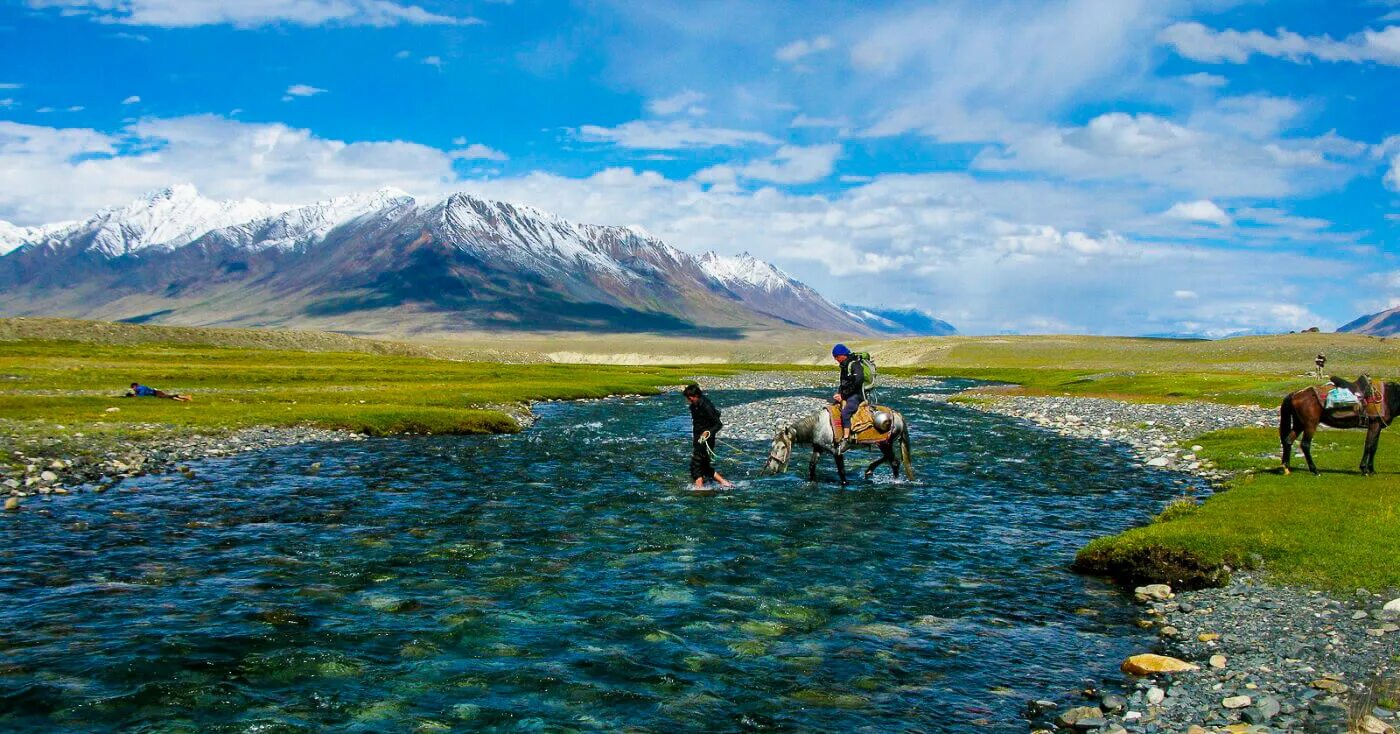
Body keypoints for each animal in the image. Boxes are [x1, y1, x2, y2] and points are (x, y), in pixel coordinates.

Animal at [761, 403, 912, 484]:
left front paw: (846, 483)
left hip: (885, 443)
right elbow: (811, 466)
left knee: (894, 462)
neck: (818, 426)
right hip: (883, 444)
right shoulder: (818, 448)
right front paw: (812, 481)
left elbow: (841, 471)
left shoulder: (837, 451)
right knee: (889, 459)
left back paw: (894, 480)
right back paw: (869, 471)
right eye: (772, 445)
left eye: (783, 447)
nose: (772, 466)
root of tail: (897, 415)